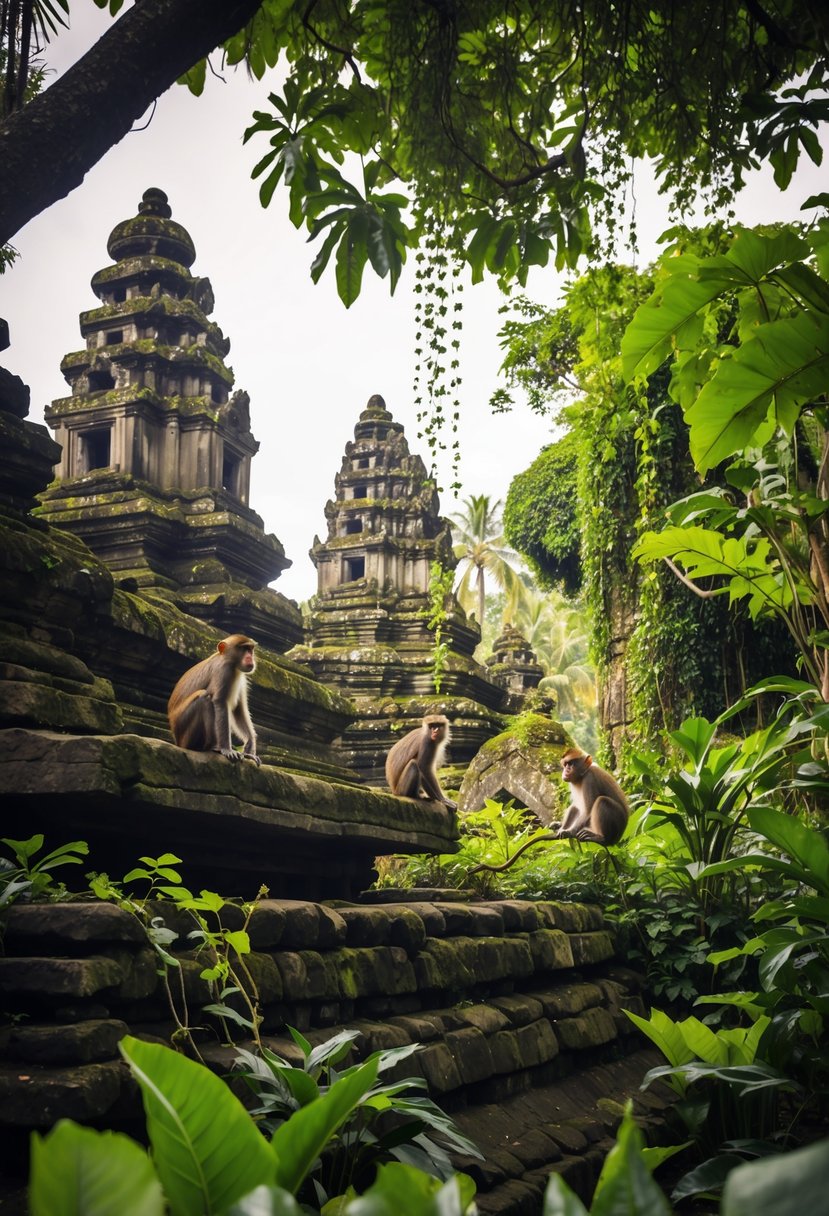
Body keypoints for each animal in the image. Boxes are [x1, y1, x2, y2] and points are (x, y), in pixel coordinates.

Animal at [167, 634, 261, 765]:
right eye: (244, 649)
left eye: (250, 649)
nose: (250, 658)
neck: (232, 665)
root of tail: (177, 740)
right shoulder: (223, 671)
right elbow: (219, 702)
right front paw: (227, 749)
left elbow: (238, 709)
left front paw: (249, 748)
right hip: (183, 730)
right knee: (204, 698)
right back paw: (211, 747)